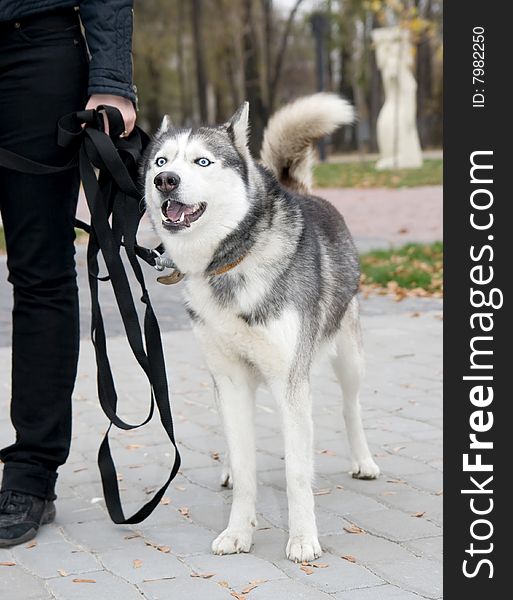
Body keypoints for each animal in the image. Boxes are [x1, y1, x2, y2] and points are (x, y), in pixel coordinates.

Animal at [142, 94, 378, 564]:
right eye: (161, 160)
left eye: (202, 161)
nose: (165, 181)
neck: (230, 262)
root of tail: (300, 190)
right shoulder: (230, 380)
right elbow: (247, 466)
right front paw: (238, 532)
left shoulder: (290, 383)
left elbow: (297, 475)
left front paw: (303, 539)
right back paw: (229, 470)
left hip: (349, 359)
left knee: (351, 407)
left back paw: (363, 461)